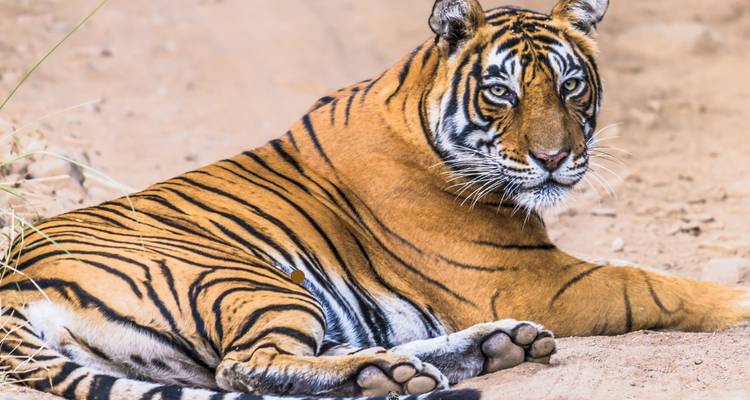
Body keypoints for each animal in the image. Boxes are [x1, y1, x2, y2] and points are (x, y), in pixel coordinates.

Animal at [2, 0, 749, 399]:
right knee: (245, 366)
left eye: (570, 86)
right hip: (245, 278)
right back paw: (388, 373)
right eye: (500, 91)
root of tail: (14, 284)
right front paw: (738, 301)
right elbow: (652, 285)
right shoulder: (534, 278)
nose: (554, 159)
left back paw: (489, 349)